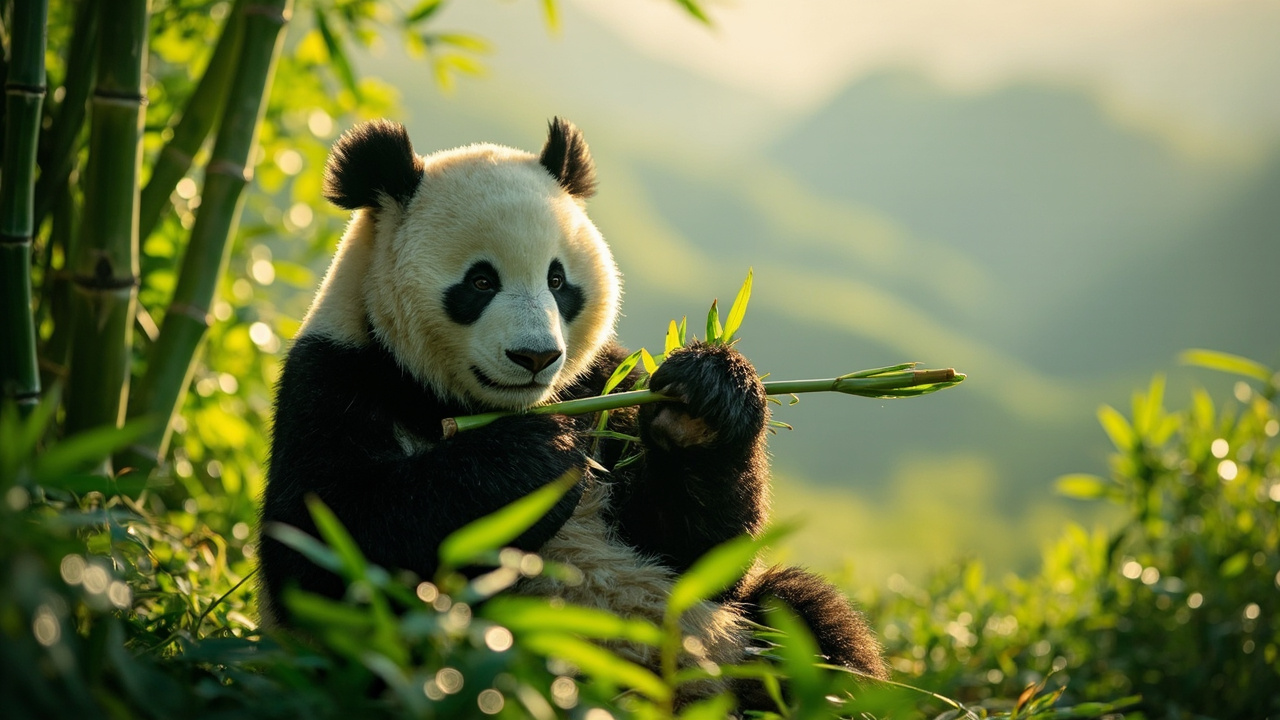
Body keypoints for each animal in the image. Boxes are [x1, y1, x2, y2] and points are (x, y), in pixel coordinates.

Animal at [258, 118, 888, 698]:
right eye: (480, 281)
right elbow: (324, 547)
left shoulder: (601, 387)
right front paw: (534, 457)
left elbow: (699, 554)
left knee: (805, 618)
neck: (471, 402)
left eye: (558, 280)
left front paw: (702, 401)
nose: (535, 356)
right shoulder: (334, 378)